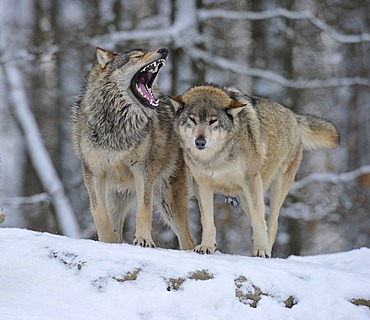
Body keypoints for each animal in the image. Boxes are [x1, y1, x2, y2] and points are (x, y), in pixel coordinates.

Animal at [71, 47, 195, 250]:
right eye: (137, 56)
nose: (164, 50)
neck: (118, 122)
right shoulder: (93, 172)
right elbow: (98, 212)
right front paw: (109, 240)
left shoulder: (143, 170)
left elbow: (143, 209)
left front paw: (144, 239)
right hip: (115, 198)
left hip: (168, 201)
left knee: (188, 239)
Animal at [169, 83, 340, 258]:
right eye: (192, 119)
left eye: (213, 121)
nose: (200, 142)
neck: (215, 159)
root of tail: (292, 115)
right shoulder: (202, 185)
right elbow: (207, 221)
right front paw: (206, 246)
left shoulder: (251, 180)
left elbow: (259, 219)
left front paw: (261, 250)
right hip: (244, 197)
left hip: (273, 189)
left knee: (271, 223)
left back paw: (266, 249)